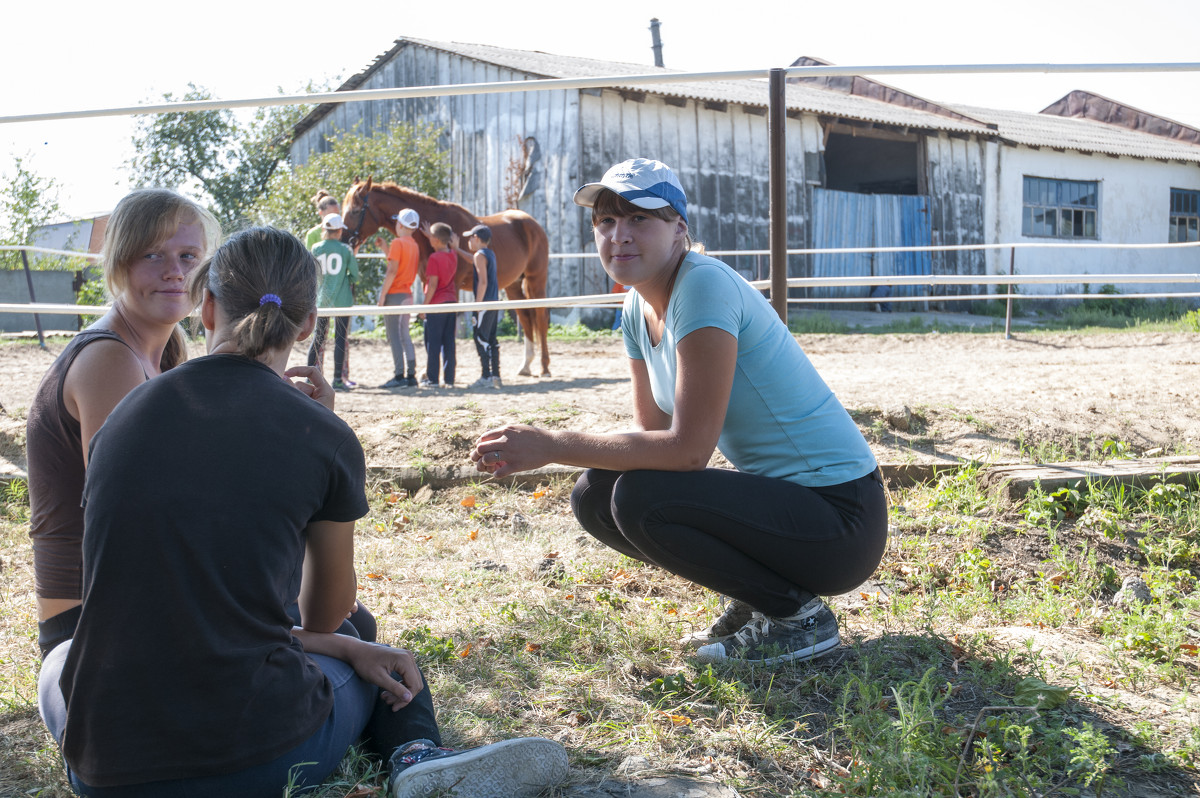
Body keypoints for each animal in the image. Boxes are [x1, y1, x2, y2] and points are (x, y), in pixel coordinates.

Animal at [343, 178, 552, 379]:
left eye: (355, 210)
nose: (345, 241)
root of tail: (532, 223)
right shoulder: (428, 282)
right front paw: (427, 371)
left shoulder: (454, 286)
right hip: (513, 286)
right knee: (526, 317)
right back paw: (525, 365)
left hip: (536, 280)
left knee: (541, 318)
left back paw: (544, 368)